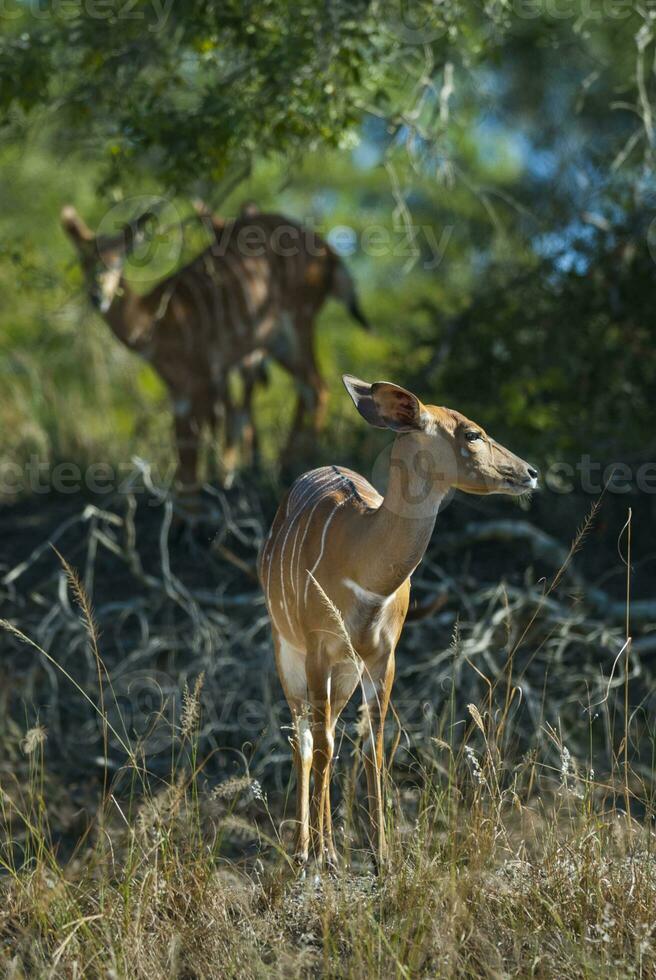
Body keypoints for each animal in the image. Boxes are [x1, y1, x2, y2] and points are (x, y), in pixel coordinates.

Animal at [61, 202, 368, 490]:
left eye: (116, 261)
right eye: (83, 262)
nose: (97, 296)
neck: (154, 323)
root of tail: (328, 252)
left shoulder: (202, 379)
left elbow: (197, 448)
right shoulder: (182, 389)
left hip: (297, 322)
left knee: (316, 388)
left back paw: (295, 466)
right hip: (277, 343)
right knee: (307, 388)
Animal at [258, 374, 536, 864]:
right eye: (472, 434)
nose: (530, 473)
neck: (361, 560)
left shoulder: (382, 656)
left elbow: (374, 746)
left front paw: (380, 855)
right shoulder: (317, 648)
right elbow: (322, 746)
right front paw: (322, 857)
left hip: (344, 671)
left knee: (330, 734)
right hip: (287, 650)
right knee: (307, 741)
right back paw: (306, 850)